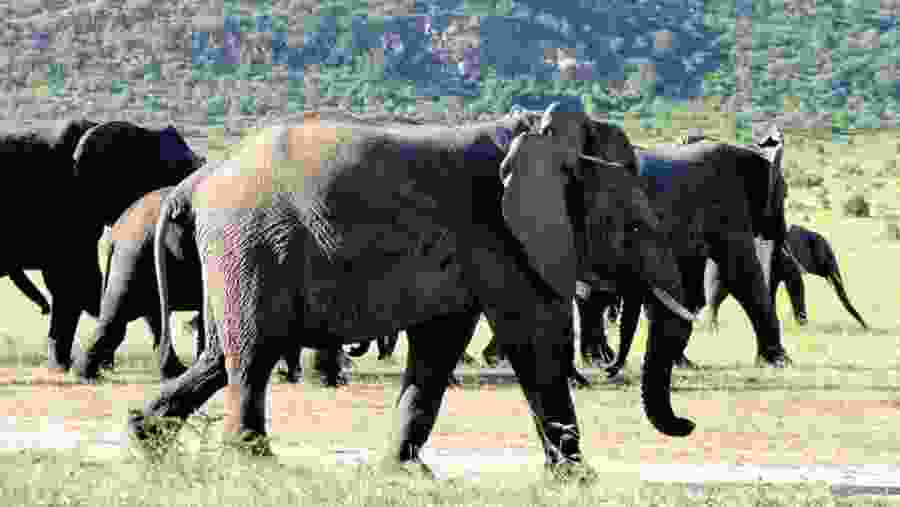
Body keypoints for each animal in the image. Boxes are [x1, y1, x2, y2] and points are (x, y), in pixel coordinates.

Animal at [72, 186, 353, 386]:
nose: (347, 375)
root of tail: (117, 232)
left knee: (145, 316)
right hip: (135, 254)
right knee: (120, 316)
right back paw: (88, 376)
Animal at [129, 109, 698, 479]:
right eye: (633, 226)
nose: (687, 424)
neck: (543, 138)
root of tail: (197, 181)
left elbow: (439, 347)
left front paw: (405, 474)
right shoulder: (501, 237)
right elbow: (534, 340)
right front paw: (579, 480)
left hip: (236, 255)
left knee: (221, 353)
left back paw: (144, 436)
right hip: (250, 245)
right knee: (251, 354)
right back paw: (254, 465)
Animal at [539, 109, 792, 374]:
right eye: (785, 194)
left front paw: (680, 362)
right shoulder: (727, 205)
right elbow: (742, 273)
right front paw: (780, 362)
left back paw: (599, 359)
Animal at [706, 224, 869, 330]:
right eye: (828, 256)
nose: (867, 327)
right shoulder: (788, 258)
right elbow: (796, 285)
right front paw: (802, 326)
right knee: (716, 291)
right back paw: (713, 328)